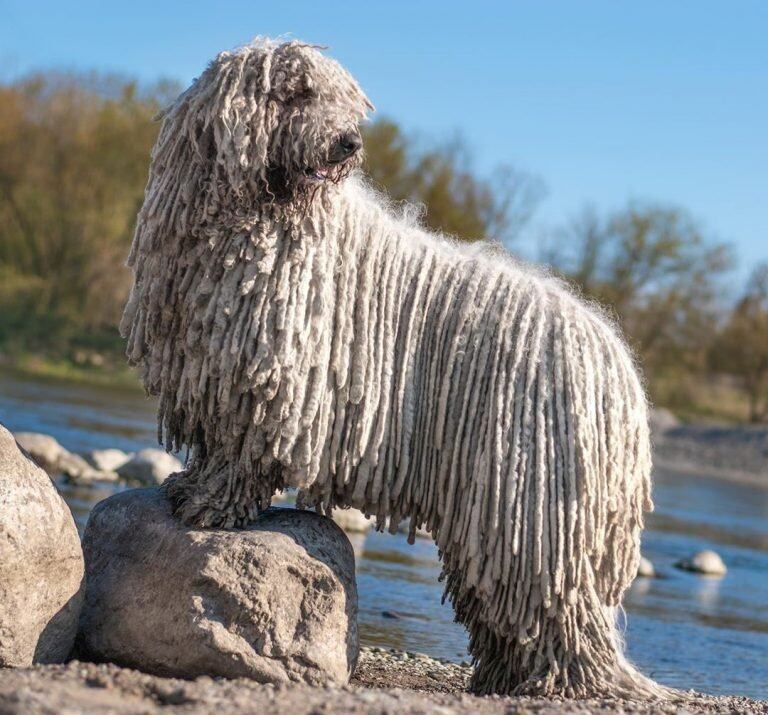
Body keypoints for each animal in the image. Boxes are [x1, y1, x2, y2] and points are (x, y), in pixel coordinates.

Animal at [120, 37, 664, 700]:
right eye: (295, 92)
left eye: (341, 98)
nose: (348, 142)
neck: (256, 220)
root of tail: (617, 365)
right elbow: (217, 447)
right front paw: (190, 486)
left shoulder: (268, 377)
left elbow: (239, 453)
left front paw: (211, 506)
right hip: (489, 515)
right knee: (503, 605)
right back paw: (508, 676)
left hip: (534, 502)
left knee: (555, 603)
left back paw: (566, 683)